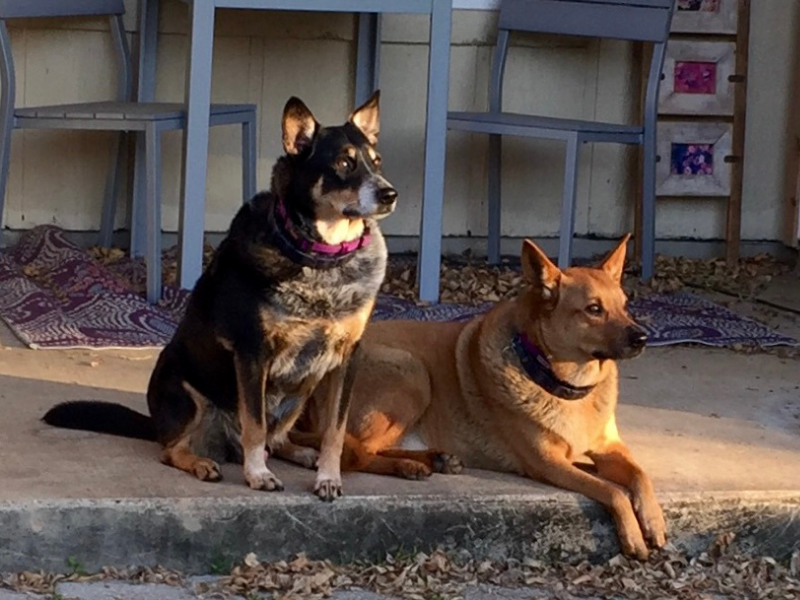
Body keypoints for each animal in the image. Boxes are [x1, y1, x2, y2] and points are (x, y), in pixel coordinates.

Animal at [42, 90, 398, 502]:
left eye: (377, 162)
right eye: (343, 162)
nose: (390, 193)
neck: (321, 259)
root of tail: (155, 422)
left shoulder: (346, 358)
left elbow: (334, 432)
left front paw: (329, 477)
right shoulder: (253, 352)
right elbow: (254, 426)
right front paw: (258, 475)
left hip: (301, 392)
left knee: (278, 439)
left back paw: (299, 453)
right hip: (185, 391)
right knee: (173, 449)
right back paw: (201, 463)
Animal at [296, 234, 664, 556]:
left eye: (625, 306)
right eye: (593, 309)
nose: (642, 338)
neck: (565, 382)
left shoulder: (610, 450)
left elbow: (639, 474)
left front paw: (653, 520)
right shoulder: (548, 463)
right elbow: (611, 490)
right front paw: (633, 535)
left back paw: (435, 459)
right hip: (412, 373)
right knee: (355, 452)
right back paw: (409, 465)